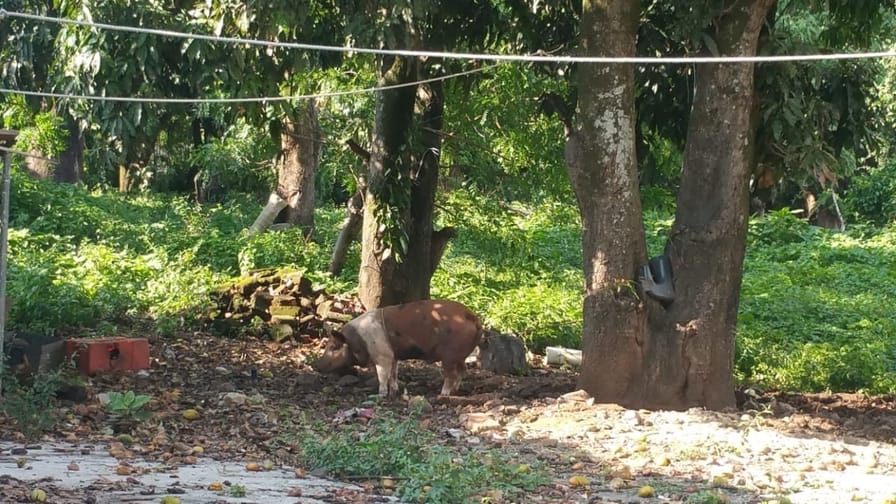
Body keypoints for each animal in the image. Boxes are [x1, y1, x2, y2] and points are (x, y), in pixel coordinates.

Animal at [314, 300, 484, 398]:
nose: (315, 365)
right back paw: (455, 391)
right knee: (462, 370)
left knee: (451, 374)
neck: (359, 340)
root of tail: (474, 318)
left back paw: (443, 394)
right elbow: (393, 374)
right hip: (460, 356)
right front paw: (394, 392)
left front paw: (381, 395)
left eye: (334, 347)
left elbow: (382, 375)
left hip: (449, 356)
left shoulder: (383, 356)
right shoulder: (393, 356)